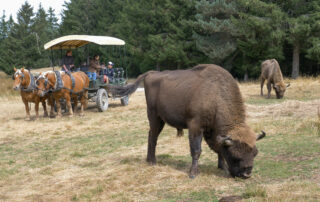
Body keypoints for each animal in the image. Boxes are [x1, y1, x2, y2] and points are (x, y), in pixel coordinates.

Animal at [109, 64, 266, 178]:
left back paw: (149, 160)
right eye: (235, 156)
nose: (246, 174)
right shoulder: (195, 127)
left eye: (255, 153)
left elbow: (218, 148)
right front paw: (193, 173)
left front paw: (222, 167)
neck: (215, 95)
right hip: (154, 117)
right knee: (153, 136)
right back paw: (152, 162)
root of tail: (151, 73)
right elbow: (196, 150)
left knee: (150, 135)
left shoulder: (213, 131)